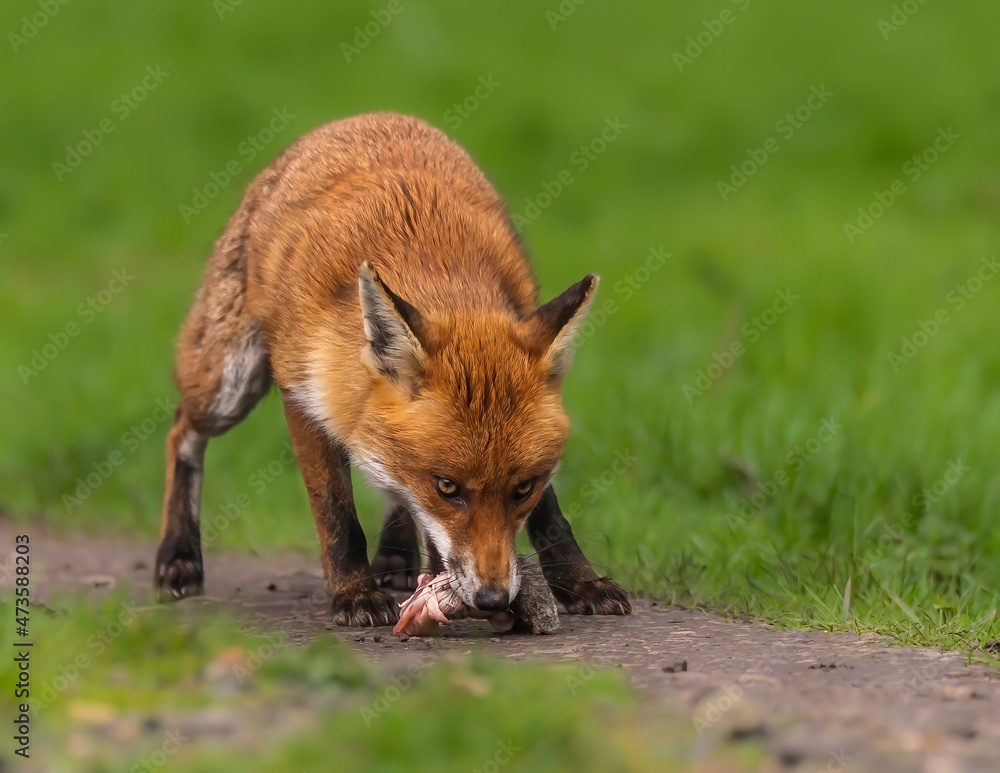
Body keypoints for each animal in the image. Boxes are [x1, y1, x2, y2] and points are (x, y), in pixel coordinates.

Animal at [154, 112, 632, 626]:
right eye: (447, 487)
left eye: (522, 487)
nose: (492, 599)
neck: (436, 268)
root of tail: (362, 118)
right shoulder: (304, 399)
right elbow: (337, 516)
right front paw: (355, 595)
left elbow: (551, 516)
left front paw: (580, 583)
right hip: (230, 383)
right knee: (181, 430)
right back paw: (178, 556)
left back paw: (397, 558)